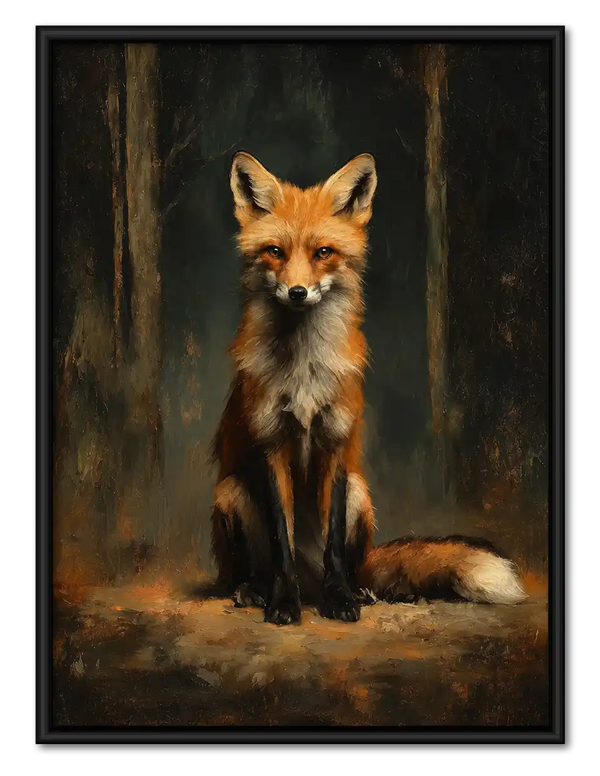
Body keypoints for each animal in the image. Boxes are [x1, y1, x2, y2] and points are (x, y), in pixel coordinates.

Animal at [210, 150, 528, 625]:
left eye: (323, 252)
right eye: (275, 252)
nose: (298, 292)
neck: (304, 368)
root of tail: (309, 579)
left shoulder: (337, 445)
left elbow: (335, 545)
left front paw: (340, 598)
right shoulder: (271, 446)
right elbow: (282, 543)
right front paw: (283, 603)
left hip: (361, 493)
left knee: (353, 564)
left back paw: (358, 590)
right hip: (230, 492)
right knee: (257, 569)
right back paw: (255, 590)